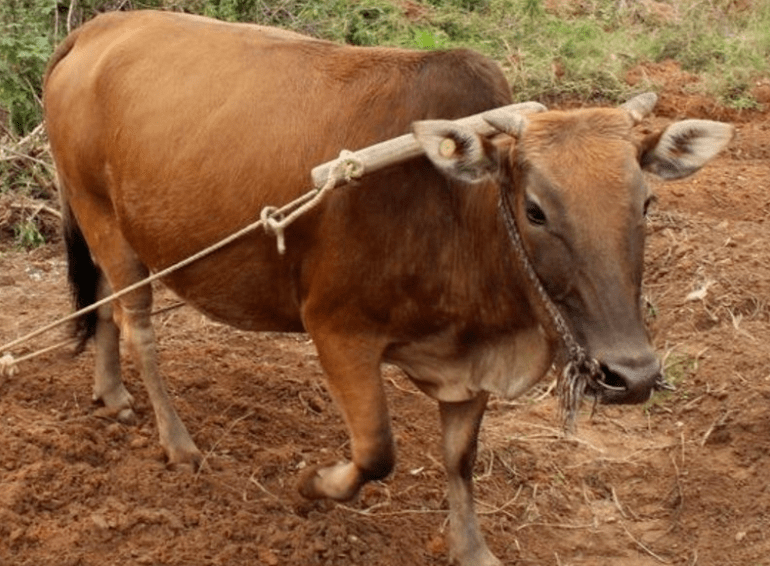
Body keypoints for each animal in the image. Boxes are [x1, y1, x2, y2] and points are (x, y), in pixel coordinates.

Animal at [43, 10, 732, 566]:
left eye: (646, 202)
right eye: (535, 210)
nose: (631, 375)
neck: (456, 212)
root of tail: (96, 29)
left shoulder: (469, 363)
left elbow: (460, 458)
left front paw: (470, 548)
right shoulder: (338, 332)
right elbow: (376, 451)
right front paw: (311, 485)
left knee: (101, 306)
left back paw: (111, 395)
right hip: (106, 221)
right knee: (137, 325)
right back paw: (178, 444)